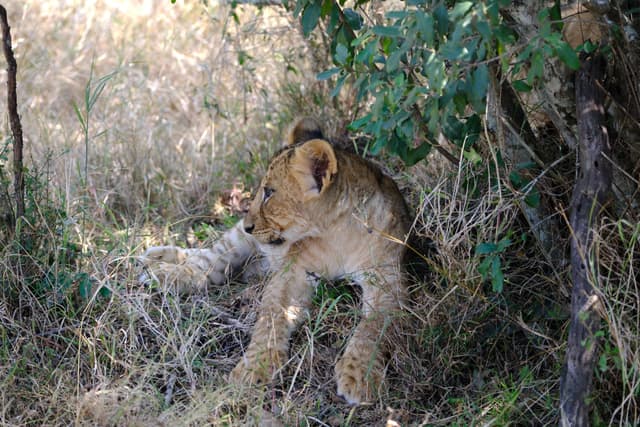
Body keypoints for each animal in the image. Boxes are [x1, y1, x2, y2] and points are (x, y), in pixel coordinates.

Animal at [140, 118, 410, 404]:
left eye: (269, 192)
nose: (248, 225)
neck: (338, 231)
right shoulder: (295, 272)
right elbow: (271, 317)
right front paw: (255, 368)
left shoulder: (387, 280)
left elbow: (374, 328)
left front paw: (359, 375)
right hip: (234, 244)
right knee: (206, 264)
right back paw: (160, 268)